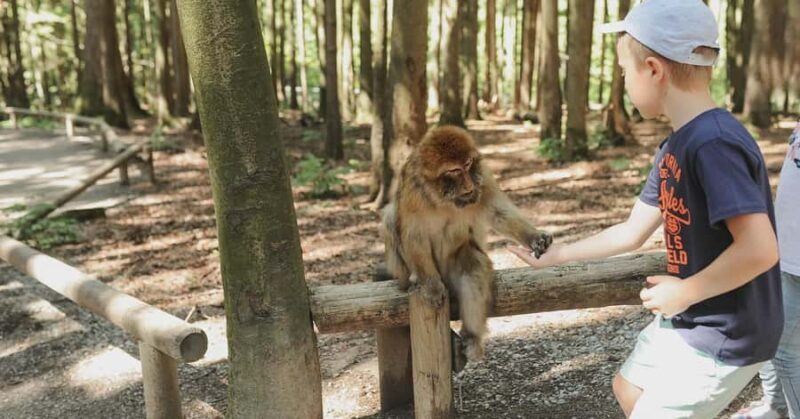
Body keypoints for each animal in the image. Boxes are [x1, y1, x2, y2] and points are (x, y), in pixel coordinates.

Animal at [382, 125, 552, 362]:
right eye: (454, 170)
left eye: (468, 164)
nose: (469, 184)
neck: (443, 198)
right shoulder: (412, 190)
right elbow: (414, 234)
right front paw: (431, 286)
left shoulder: (483, 177)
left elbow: (498, 213)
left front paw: (534, 238)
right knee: (391, 217)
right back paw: (415, 279)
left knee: (473, 266)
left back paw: (472, 338)